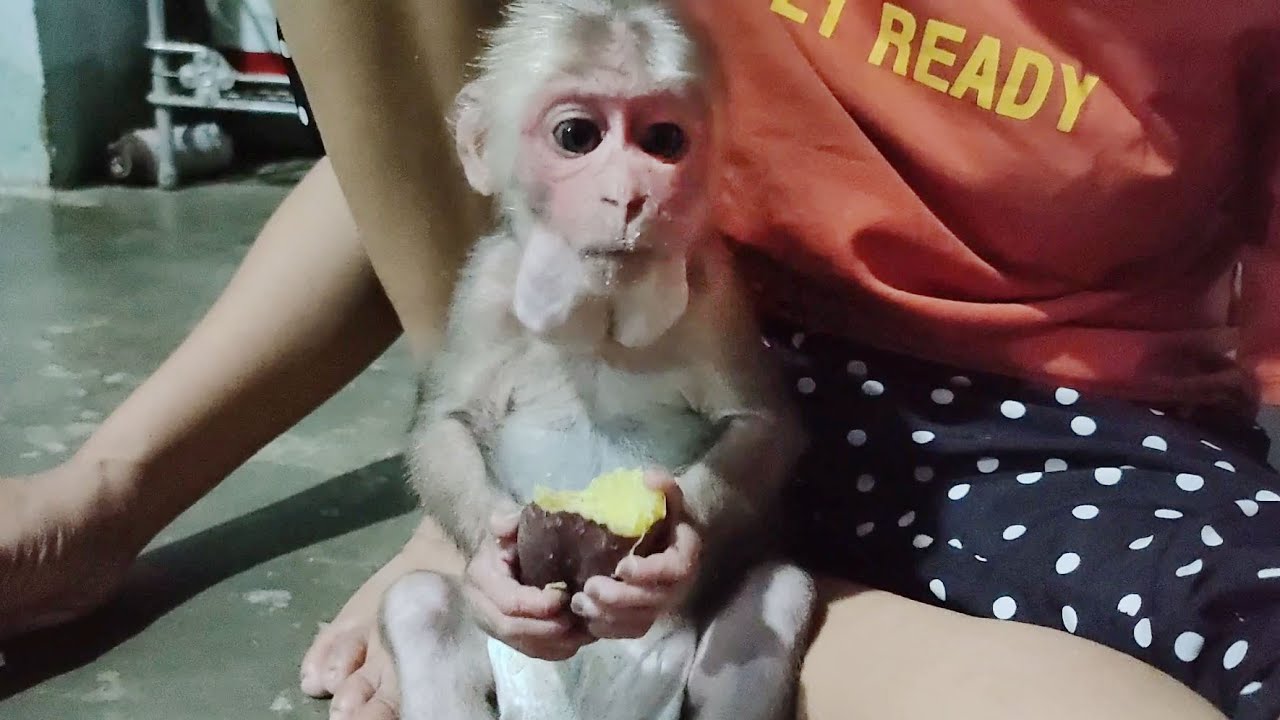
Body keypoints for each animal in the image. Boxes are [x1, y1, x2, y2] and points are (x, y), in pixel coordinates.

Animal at [380, 2, 817, 719]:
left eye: (664, 140)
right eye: (577, 136)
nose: (630, 196)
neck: (599, 315)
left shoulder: (717, 290)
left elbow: (761, 424)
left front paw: (676, 553)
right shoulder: (487, 287)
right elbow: (443, 423)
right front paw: (491, 565)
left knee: (774, 597)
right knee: (420, 607)